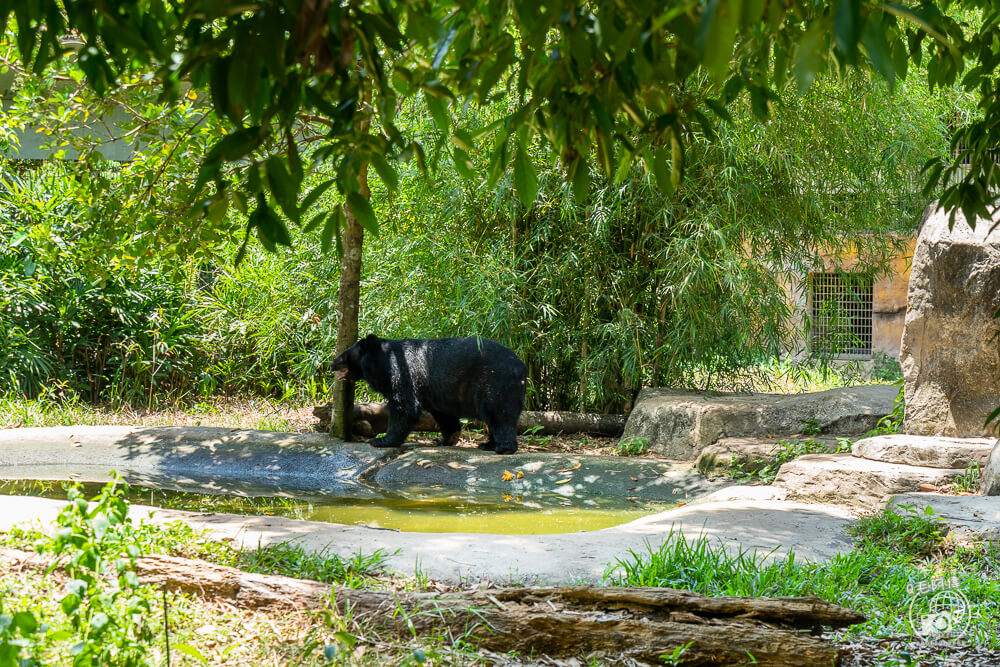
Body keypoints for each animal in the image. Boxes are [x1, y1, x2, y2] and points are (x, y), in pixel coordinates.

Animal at [332, 334, 528, 454]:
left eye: (344, 355)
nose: (331, 364)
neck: (383, 363)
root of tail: (521, 366)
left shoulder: (402, 374)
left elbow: (405, 408)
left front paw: (381, 440)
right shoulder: (434, 391)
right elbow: (443, 414)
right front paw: (446, 439)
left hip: (495, 382)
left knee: (500, 414)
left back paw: (503, 447)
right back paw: (488, 444)